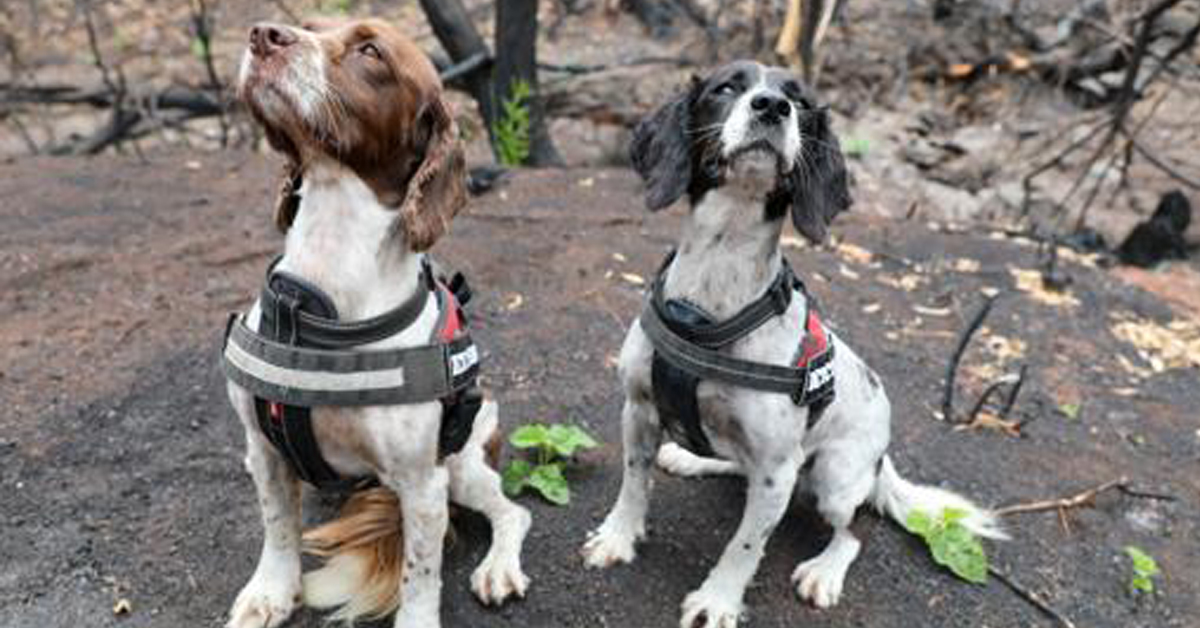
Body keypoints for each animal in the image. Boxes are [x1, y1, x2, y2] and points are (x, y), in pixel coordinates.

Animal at [229, 19, 530, 628]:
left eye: (370, 51)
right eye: (309, 27)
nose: (264, 34)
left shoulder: (423, 483)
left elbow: (420, 574)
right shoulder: (263, 450)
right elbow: (278, 527)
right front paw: (271, 591)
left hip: (465, 465)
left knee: (513, 513)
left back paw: (499, 568)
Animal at [580, 60, 1003, 628]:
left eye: (800, 102)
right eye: (727, 87)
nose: (772, 106)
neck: (716, 284)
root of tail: (882, 457)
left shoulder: (778, 470)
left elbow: (745, 544)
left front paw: (718, 600)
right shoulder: (639, 410)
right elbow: (633, 485)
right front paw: (618, 538)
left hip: (834, 478)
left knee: (854, 531)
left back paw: (824, 570)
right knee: (738, 465)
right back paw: (694, 459)